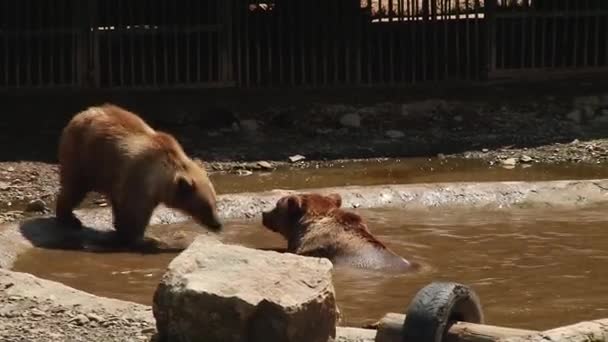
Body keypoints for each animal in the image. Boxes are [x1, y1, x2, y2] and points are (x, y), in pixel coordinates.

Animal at [56, 103, 223, 244]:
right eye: (205, 206)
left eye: (215, 203)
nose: (218, 224)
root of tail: (80, 114)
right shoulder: (139, 180)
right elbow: (135, 212)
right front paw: (142, 238)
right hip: (83, 155)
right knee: (74, 187)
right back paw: (69, 219)